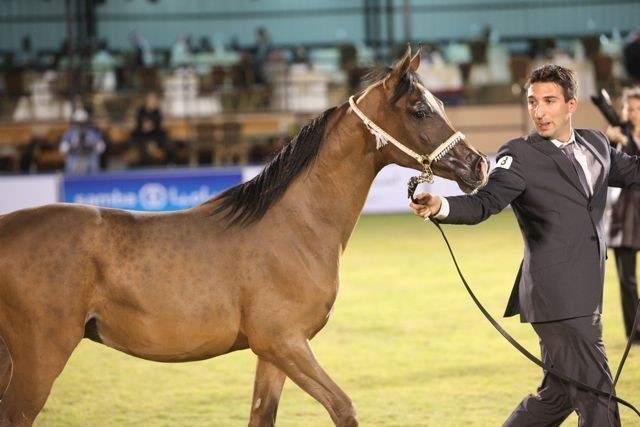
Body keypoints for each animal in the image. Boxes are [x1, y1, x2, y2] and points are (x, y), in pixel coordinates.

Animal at [0, 46, 488, 427]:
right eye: (420, 110)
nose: (478, 165)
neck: (294, 227)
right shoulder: (284, 342)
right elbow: (344, 408)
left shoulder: (272, 353)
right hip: (39, 359)